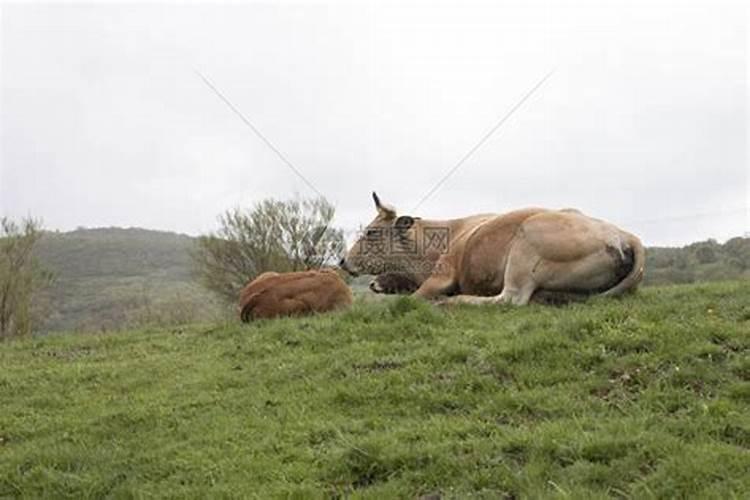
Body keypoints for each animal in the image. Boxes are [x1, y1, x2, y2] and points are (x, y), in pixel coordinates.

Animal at [340, 192, 648, 304]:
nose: (342, 262)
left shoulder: (439, 277)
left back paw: (456, 301)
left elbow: (413, 297)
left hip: (525, 244)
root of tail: (623, 234)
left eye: (372, 232)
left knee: (510, 299)